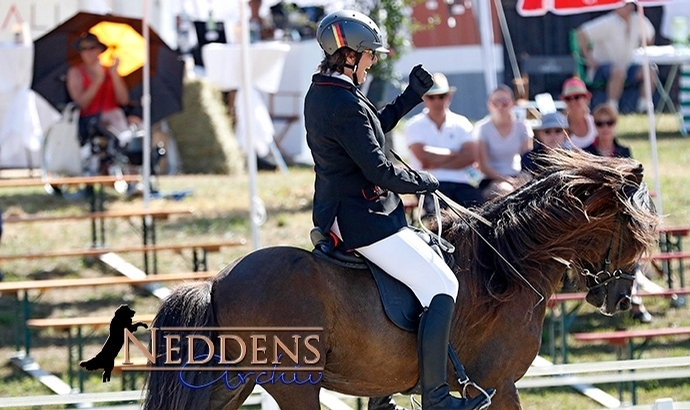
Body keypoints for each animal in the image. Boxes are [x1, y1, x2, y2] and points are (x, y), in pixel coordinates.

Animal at [144, 151, 656, 410]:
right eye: (635, 230)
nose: (621, 299)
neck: (504, 269)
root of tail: (216, 282)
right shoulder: (500, 385)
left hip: (231, 383)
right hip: (295, 385)